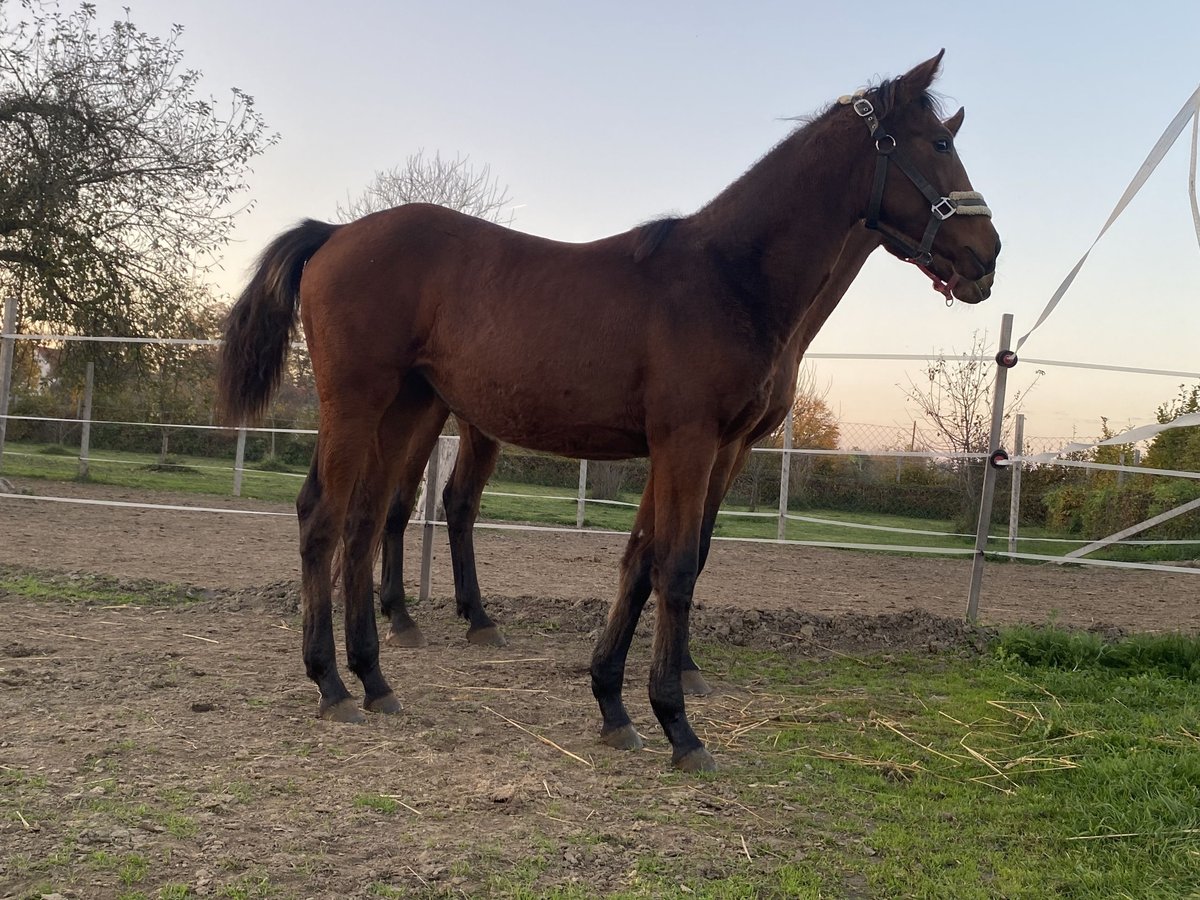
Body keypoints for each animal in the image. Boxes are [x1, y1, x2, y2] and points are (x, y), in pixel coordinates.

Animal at [220, 49, 998, 772]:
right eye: (937, 144)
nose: (986, 255)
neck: (725, 277)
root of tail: (335, 232)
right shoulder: (690, 442)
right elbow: (676, 567)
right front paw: (679, 726)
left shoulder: (689, 447)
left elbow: (642, 562)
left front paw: (614, 704)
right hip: (358, 404)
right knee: (324, 516)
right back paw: (333, 684)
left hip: (406, 409)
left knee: (365, 517)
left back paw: (376, 679)